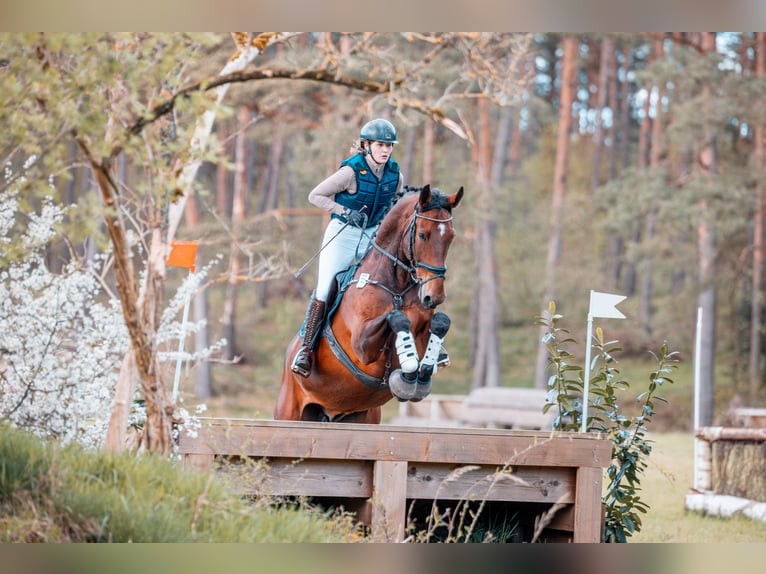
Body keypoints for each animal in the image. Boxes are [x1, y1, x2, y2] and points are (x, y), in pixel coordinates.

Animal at [278, 187, 468, 426]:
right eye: (422, 235)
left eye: (451, 237)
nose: (434, 296)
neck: (397, 285)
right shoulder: (362, 344)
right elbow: (396, 317)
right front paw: (409, 369)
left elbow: (440, 322)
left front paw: (423, 368)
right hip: (289, 412)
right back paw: (302, 360)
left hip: (362, 416)